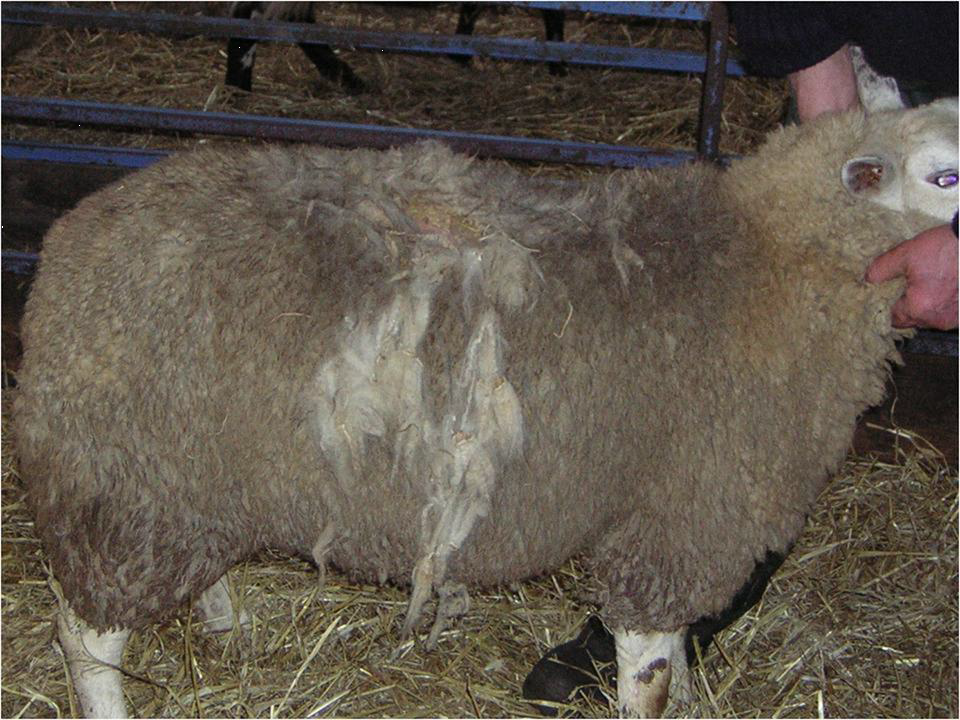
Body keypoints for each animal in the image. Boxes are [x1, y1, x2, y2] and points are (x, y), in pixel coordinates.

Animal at [13, 98, 958, 718]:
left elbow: (678, 657)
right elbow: (648, 673)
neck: (763, 263)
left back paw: (228, 619)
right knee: (83, 636)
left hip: (186, 477)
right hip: (129, 480)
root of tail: (71, 246)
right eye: (945, 173)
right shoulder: (679, 517)